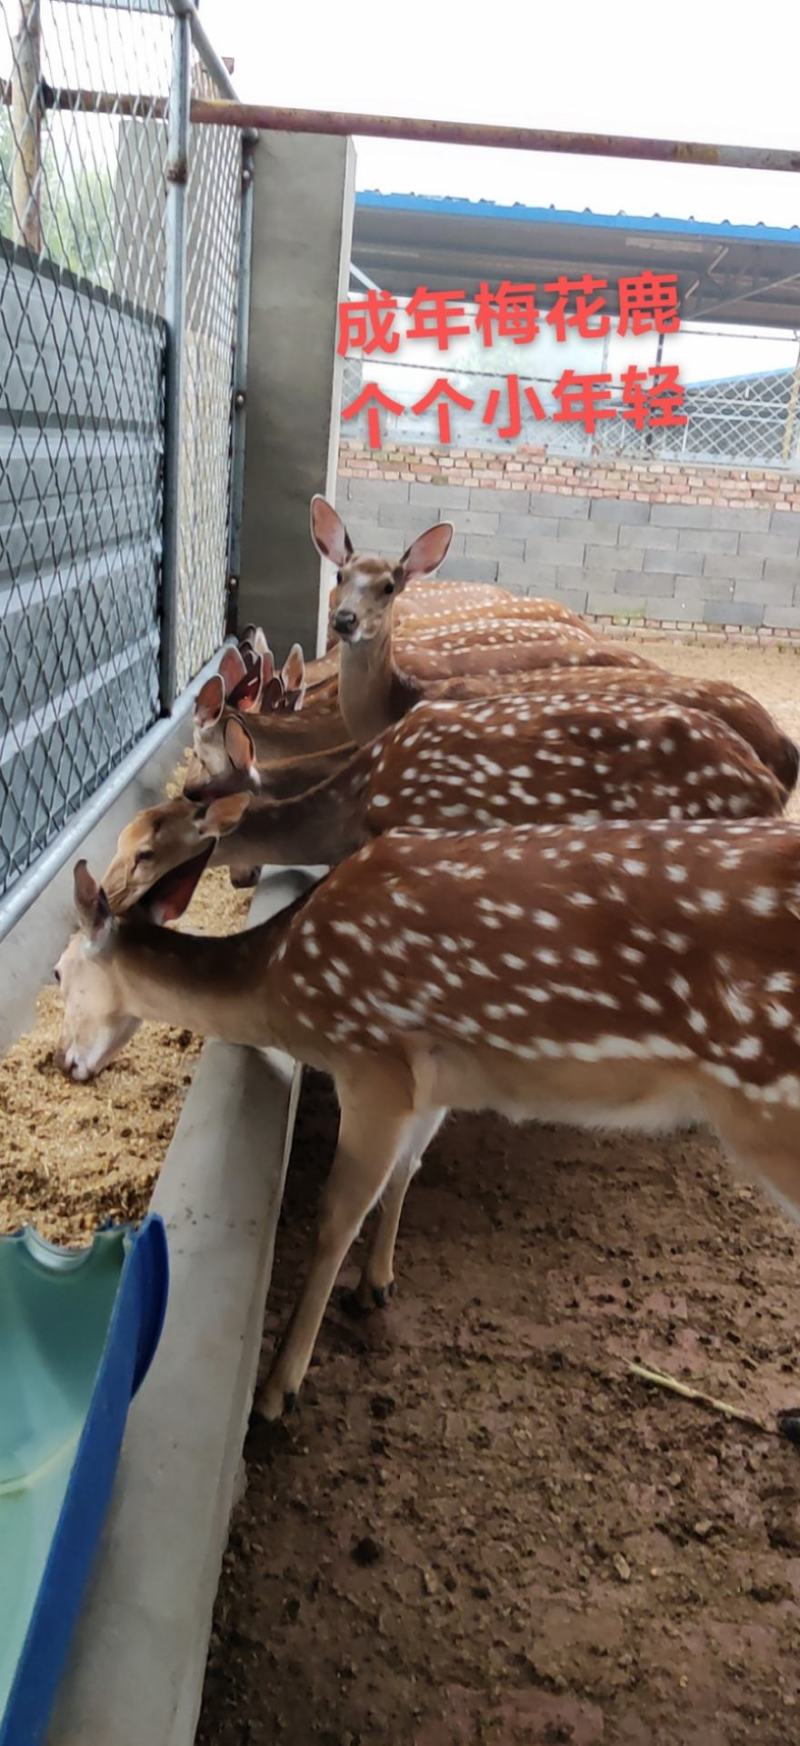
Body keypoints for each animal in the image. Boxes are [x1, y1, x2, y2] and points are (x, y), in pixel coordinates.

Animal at [54, 816, 800, 1423]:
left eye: (59, 975)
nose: (65, 1064)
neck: (280, 987)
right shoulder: (433, 1078)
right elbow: (407, 1169)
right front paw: (376, 1284)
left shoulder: (371, 1061)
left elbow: (336, 1215)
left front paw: (277, 1388)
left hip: (770, 1101)